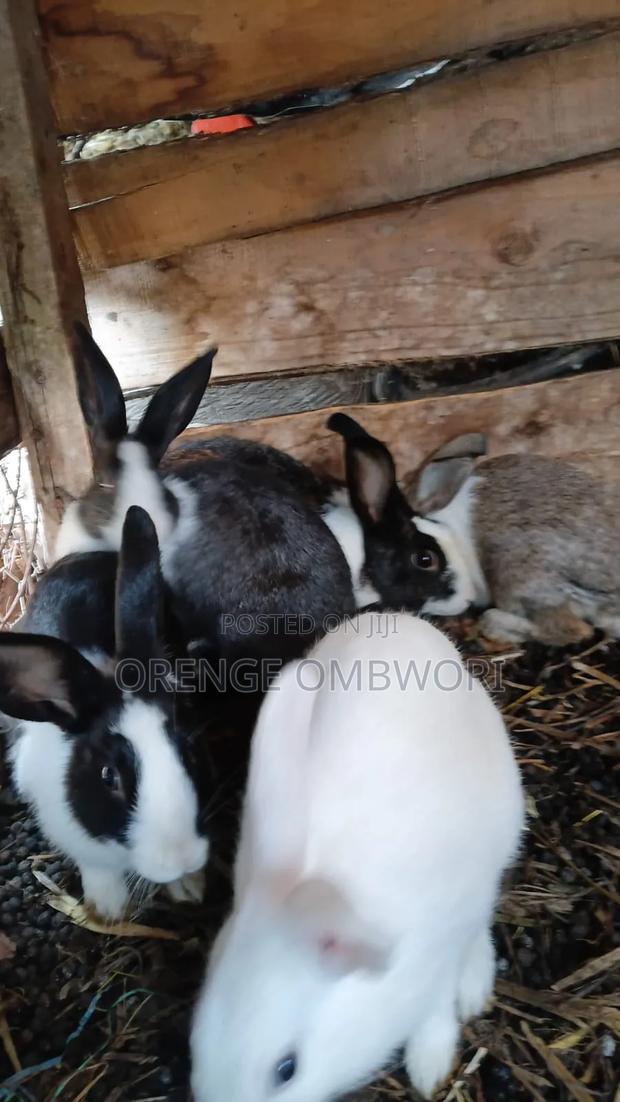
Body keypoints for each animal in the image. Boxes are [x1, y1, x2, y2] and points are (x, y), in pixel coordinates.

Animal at [0, 506, 209, 920]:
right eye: (108, 775)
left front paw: (190, 887)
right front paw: (107, 908)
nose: (183, 859)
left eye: (189, 751)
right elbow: (96, 865)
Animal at [190, 611, 524, 1102]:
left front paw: (430, 1068)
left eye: (287, 1069)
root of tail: (403, 621)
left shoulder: (439, 953)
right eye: (196, 1044)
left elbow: (435, 1010)